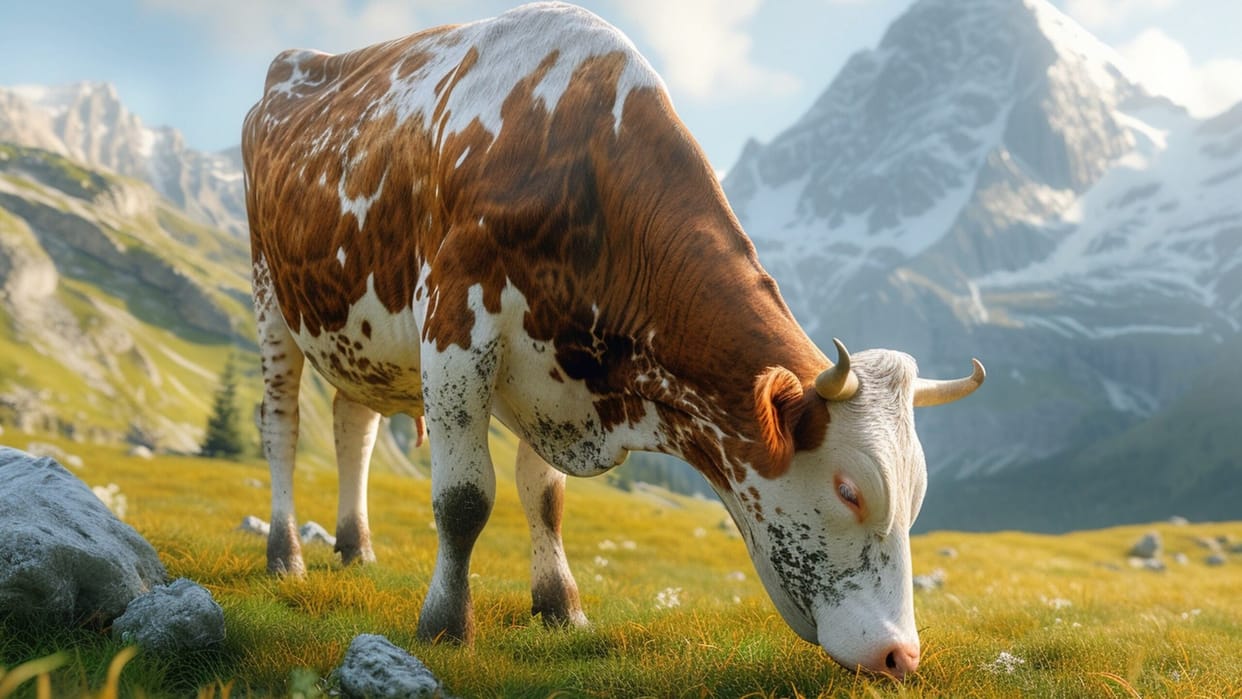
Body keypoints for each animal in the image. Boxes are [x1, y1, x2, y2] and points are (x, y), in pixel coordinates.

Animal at [242, 1, 984, 680]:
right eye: (851, 489)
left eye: (916, 494)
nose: (900, 654)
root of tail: (287, 68)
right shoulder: (457, 329)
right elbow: (464, 500)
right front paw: (446, 625)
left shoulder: (544, 370)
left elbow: (545, 497)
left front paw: (559, 606)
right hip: (270, 297)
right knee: (282, 427)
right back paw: (287, 556)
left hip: (355, 332)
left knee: (353, 427)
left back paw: (355, 548)